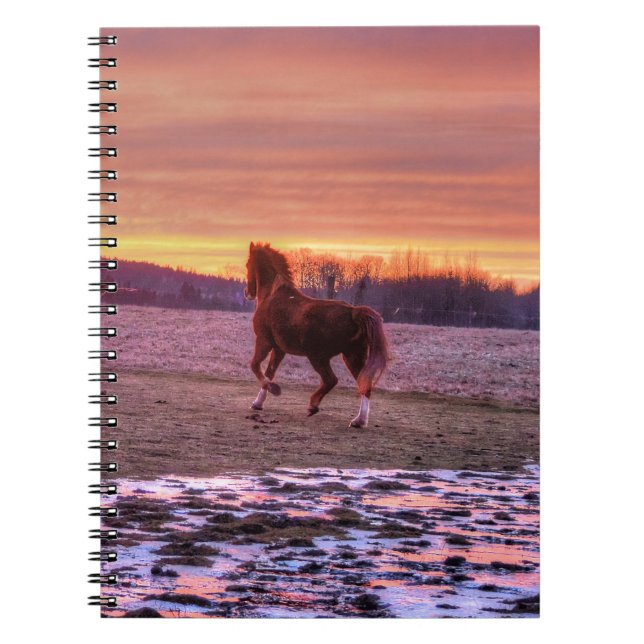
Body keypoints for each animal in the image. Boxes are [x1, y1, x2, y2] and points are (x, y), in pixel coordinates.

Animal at [244, 242, 389, 428]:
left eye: (248, 264)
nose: (248, 293)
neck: (272, 294)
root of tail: (353, 312)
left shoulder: (264, 342)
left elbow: (255, 366)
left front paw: (273, 390)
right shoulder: (279, 349)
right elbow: (269, 372)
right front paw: (258, 403)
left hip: (318, 357)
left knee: (331, 380)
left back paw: (313, 406)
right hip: (352, 356)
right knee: (364, 384)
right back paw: (359, 420)